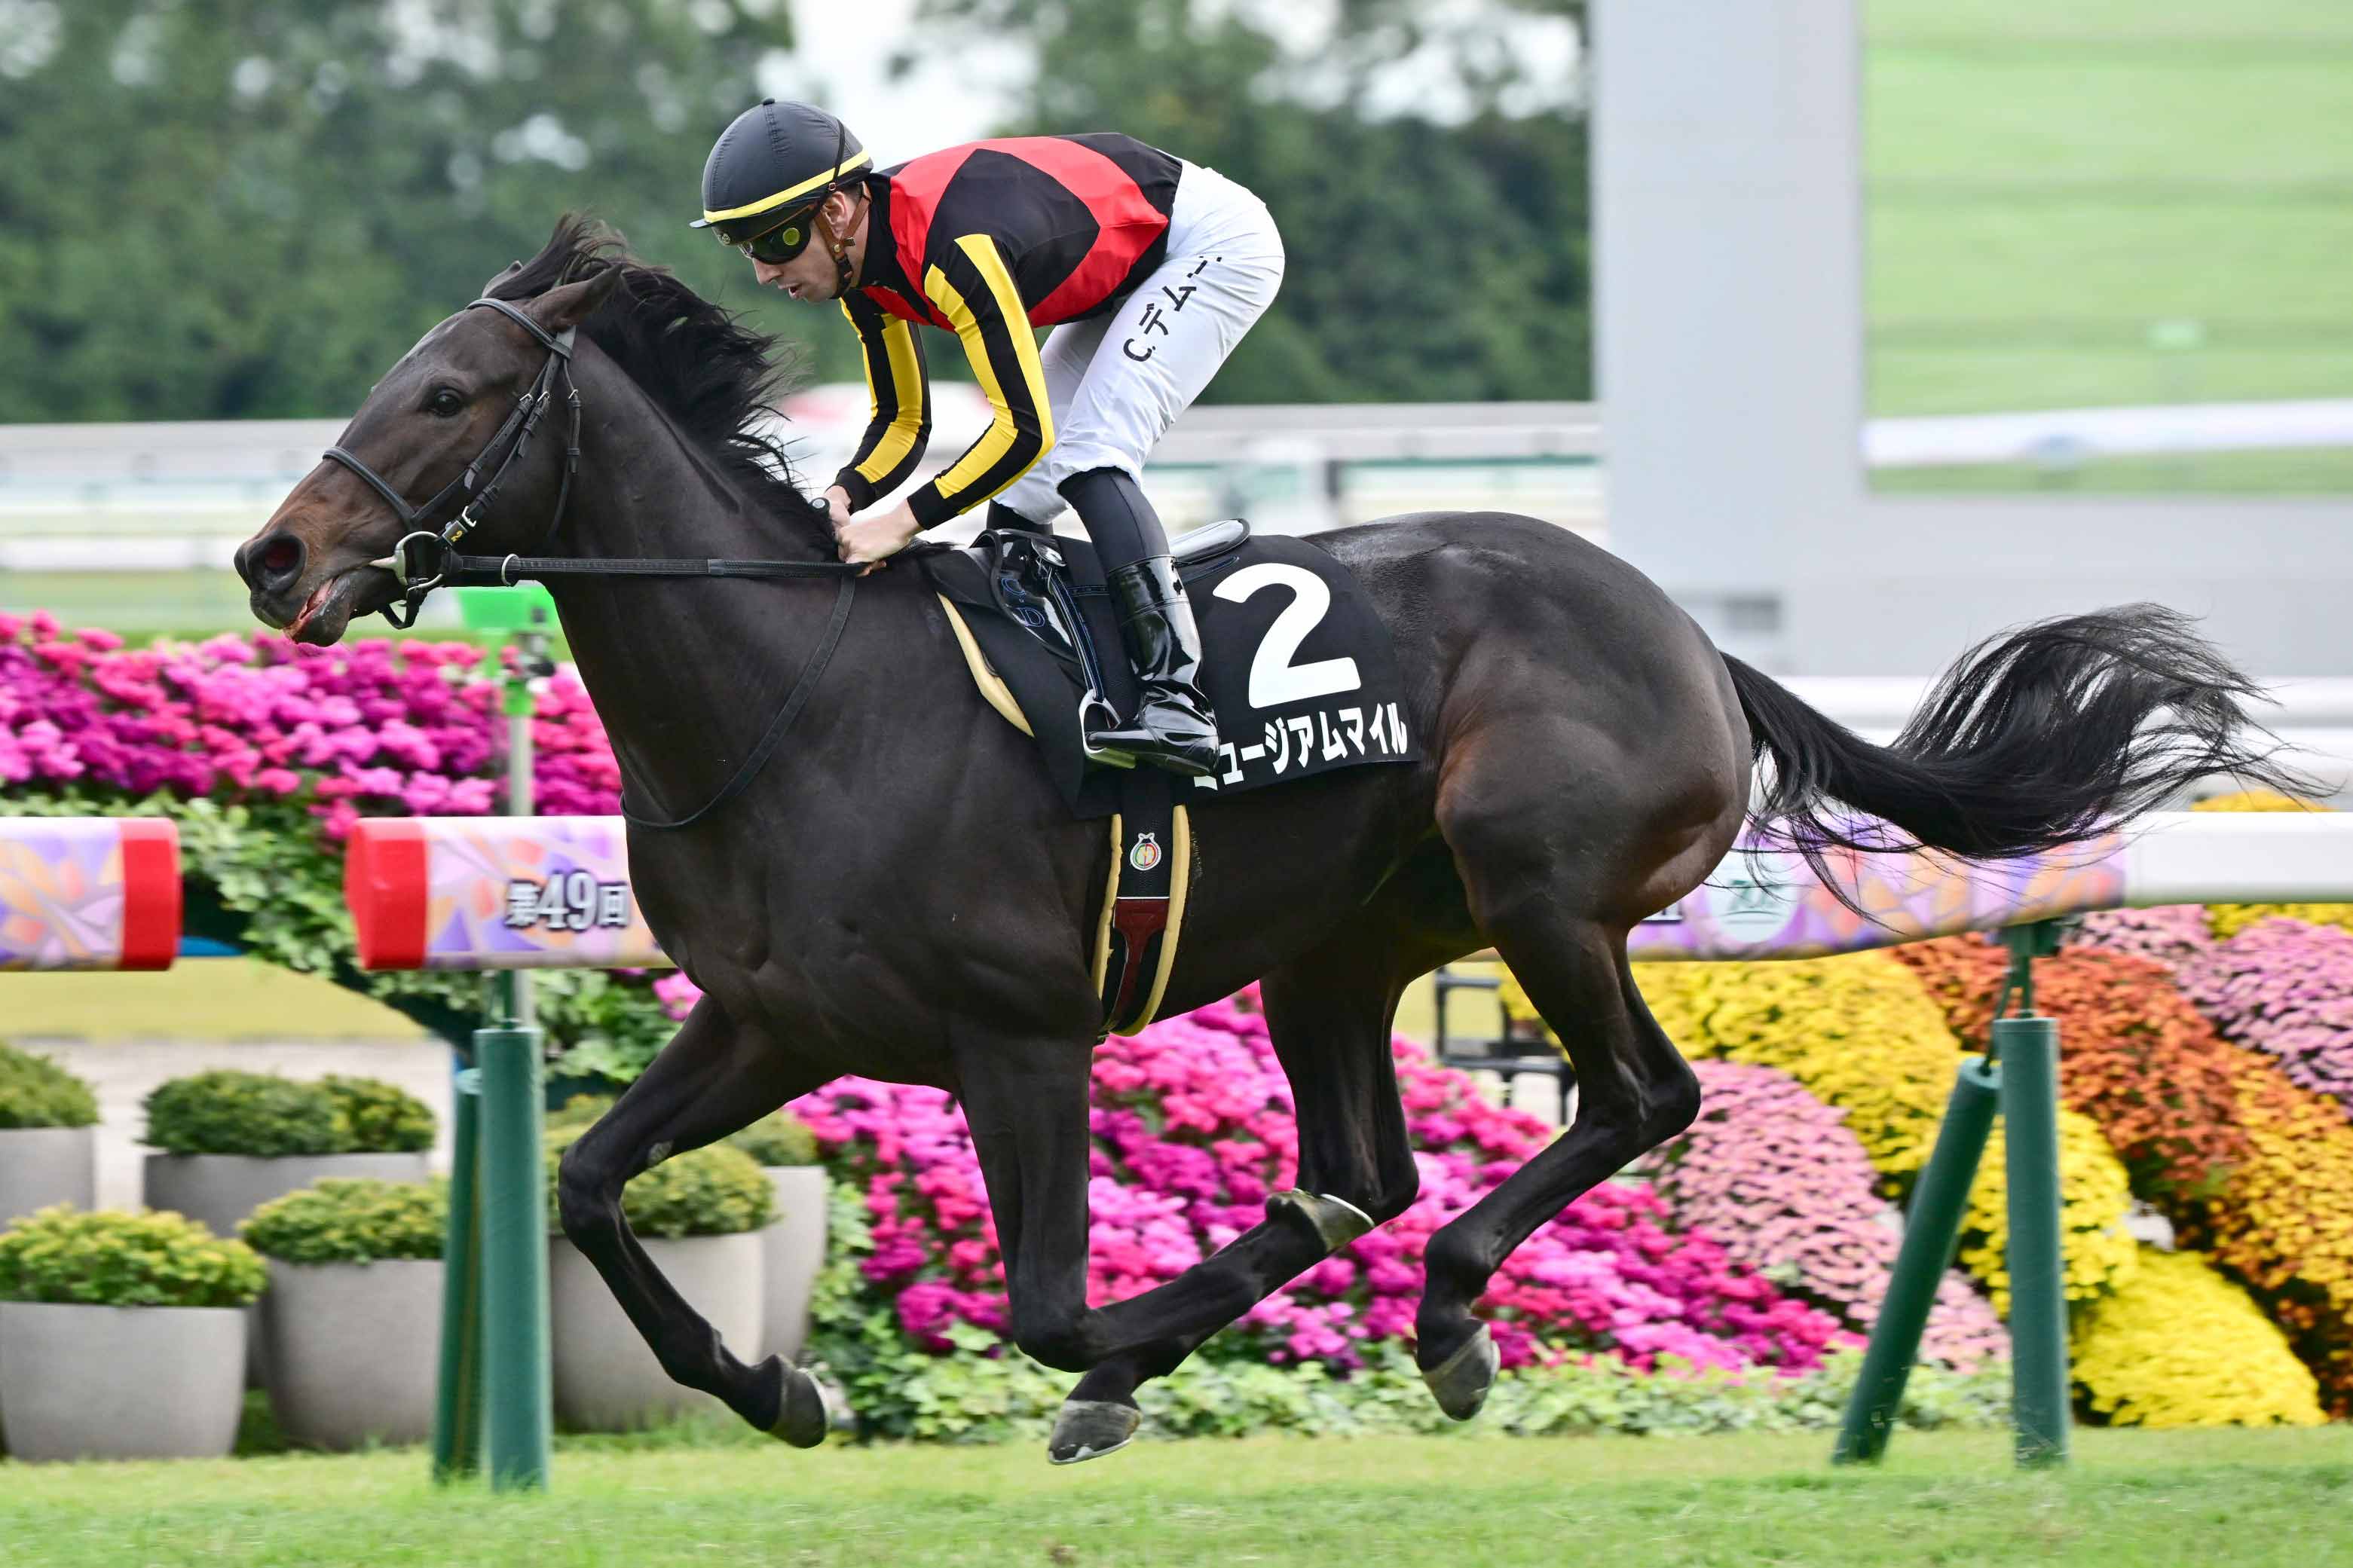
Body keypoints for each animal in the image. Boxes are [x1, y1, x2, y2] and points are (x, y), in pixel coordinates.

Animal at [235, 218, 2299, 1463]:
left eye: (447, 393)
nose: (269, 555)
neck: (797, 697)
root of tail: (1689, 633)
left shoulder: (1020, 1036)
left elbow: (1048, 1300)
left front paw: (1108, 1358)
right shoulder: (769, 1020)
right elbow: (592, 1185)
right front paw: (776, 1382)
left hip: (1543, 889)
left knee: (1635, 1099)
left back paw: (1446, 1315)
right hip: (1341, 947)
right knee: (1363, 1162)